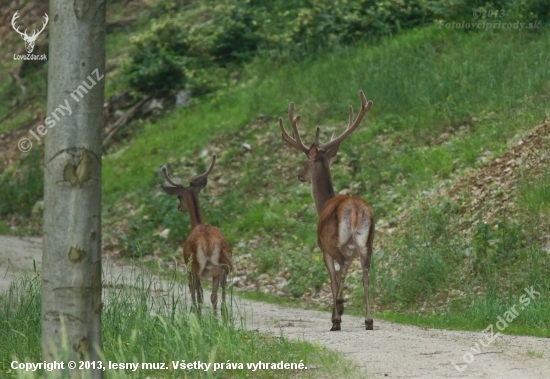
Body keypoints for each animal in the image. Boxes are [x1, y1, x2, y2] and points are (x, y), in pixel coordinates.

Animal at [163, 155, 234, 318]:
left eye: (179, 196)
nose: (179, 207)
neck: (198, 224)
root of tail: (207, 243)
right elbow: (213, 296)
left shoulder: (188, 268)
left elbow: (193, 291)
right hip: (223, 264)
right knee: (220, 292)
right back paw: (223, 317)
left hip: (195, 266)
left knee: (199, 293)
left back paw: (200, 317)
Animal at [278, 90, 378, 332]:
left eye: (304, 162)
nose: (299, 175)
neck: (323, 203)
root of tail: (356, 210)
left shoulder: (323, 249)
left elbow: (332, 279)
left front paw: (336, 316)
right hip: (367, 242)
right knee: (365, 274)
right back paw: (368, 320)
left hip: (335, 241)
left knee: (342, 268)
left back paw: (338, 312)